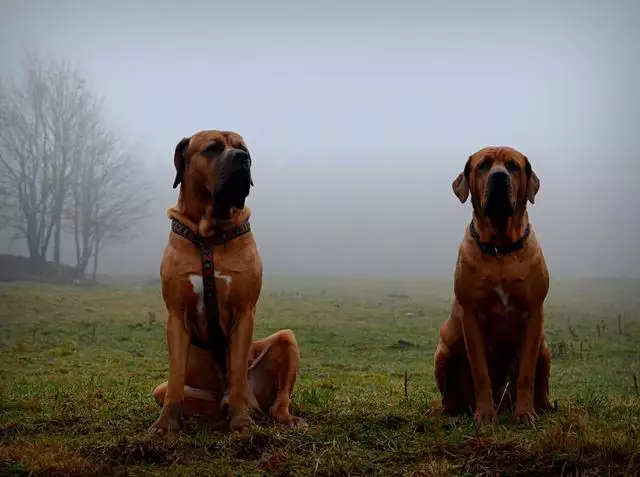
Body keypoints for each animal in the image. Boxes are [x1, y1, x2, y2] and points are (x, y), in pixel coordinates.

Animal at [151, 128, 308, 434]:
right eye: (212, 148)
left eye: (243, 148)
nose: (242, 158)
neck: (209, 238)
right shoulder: (176, 315)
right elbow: (175, 378)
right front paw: (166, 425)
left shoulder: (244, 313)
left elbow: (236, 372)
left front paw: (242, 423)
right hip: (168, 391)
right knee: (178, 394)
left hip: (286, 340)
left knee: (277, 399)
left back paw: (282, 417)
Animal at [432, 145, 552, 424]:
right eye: (483, 165)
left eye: (513, 166)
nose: (499, 177)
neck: (500, 250)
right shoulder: (471, 316)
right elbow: (481, 373)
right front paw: (485, 414)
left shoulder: (533, 316)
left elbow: (527, 373)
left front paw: (525, 413)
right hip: (443, 350)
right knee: (450, 396)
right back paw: (449, 411)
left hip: (545, 346)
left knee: (541, 381)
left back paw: (543, 406)